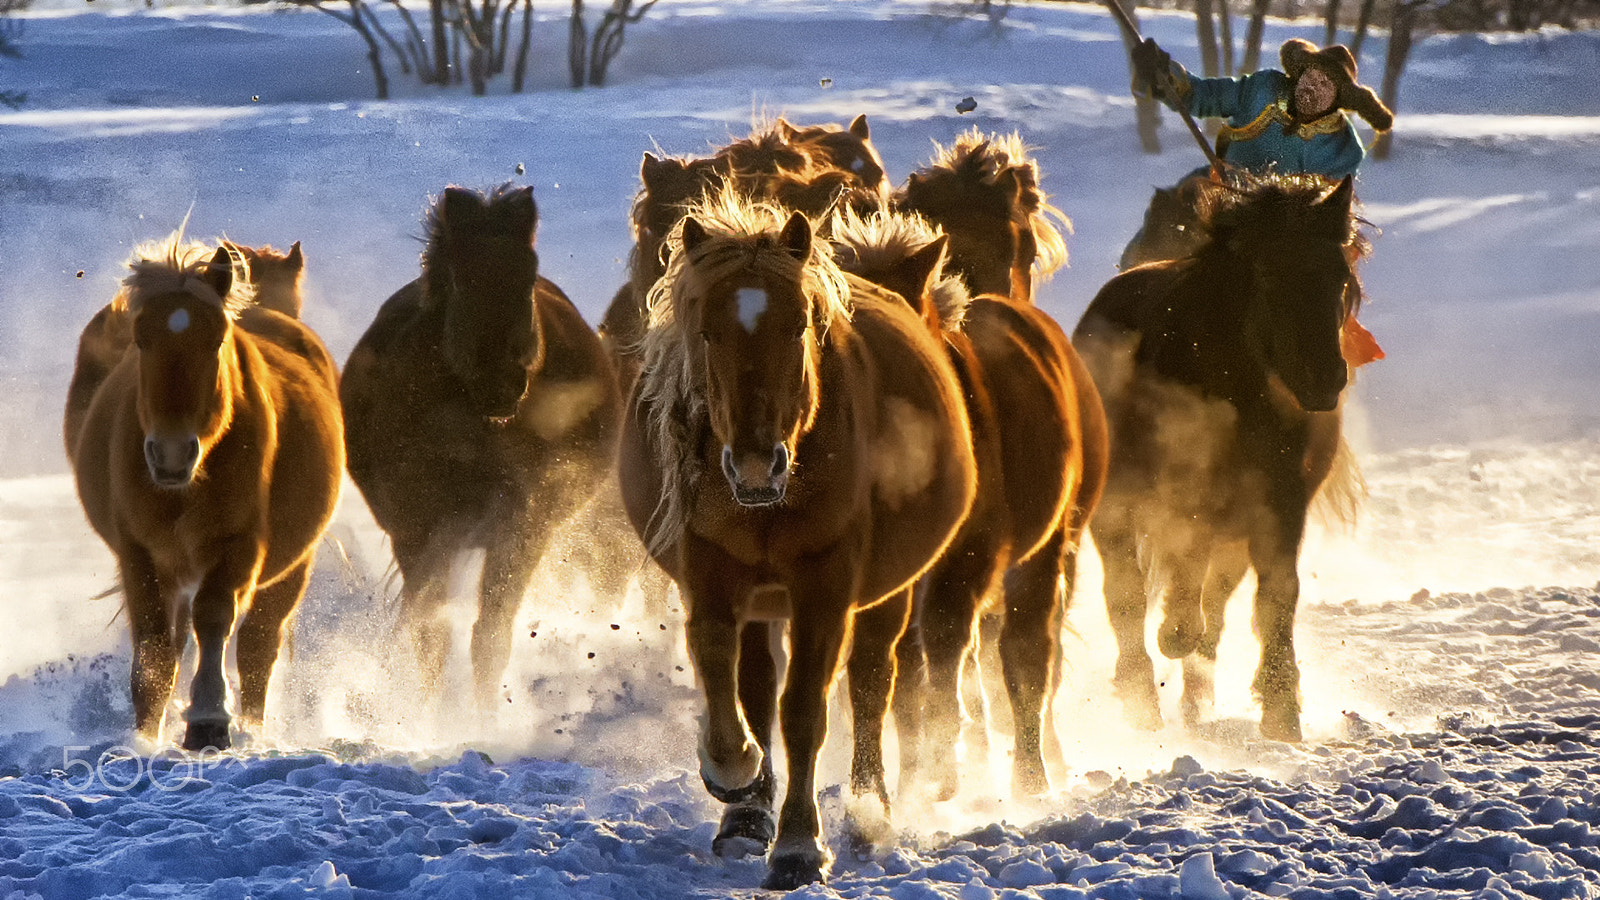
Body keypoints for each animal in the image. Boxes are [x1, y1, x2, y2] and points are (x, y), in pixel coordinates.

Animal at [65, 234, 344, 751]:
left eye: (216, 340)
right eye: (141, 339)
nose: (172, 453)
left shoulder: (240, 545)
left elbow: (214, 618)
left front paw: (209, 718)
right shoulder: (139, 552)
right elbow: (156, 648)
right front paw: (145, 736)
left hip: (290, 566)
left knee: (257, 646)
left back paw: (251, 727)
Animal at [340, 184, 621, 709]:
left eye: (528, 273)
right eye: (460, 277)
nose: (500, 383)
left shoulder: (523, 524)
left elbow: (489, 637)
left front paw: (481, 719)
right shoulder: (420, 530)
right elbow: (429, 637)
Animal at [616, 190, 976, 889]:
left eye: (799, 326)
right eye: (708, 332)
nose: (757, 466)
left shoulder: (824, 586)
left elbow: (807, 709)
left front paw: (799, 846)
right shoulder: (710, 573)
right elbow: (721, 671)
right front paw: (734, 777)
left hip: (884, 593)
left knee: (870, 682)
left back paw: (868, 807)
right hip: (764, 600)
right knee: (757, 686)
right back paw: (747, 816)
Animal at [1071, 174, 1364, 742]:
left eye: (1340, 276)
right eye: (1269, 274)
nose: (1323, 379)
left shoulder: (1280, 508)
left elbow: (1275, 599)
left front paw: (1281, 709)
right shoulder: (1189, 502)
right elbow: (1174, 589)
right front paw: (1174, 634)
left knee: (1214, 598)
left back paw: (1195, 700)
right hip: (1116, 511)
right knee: (1126, 597)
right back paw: (1142, 698)